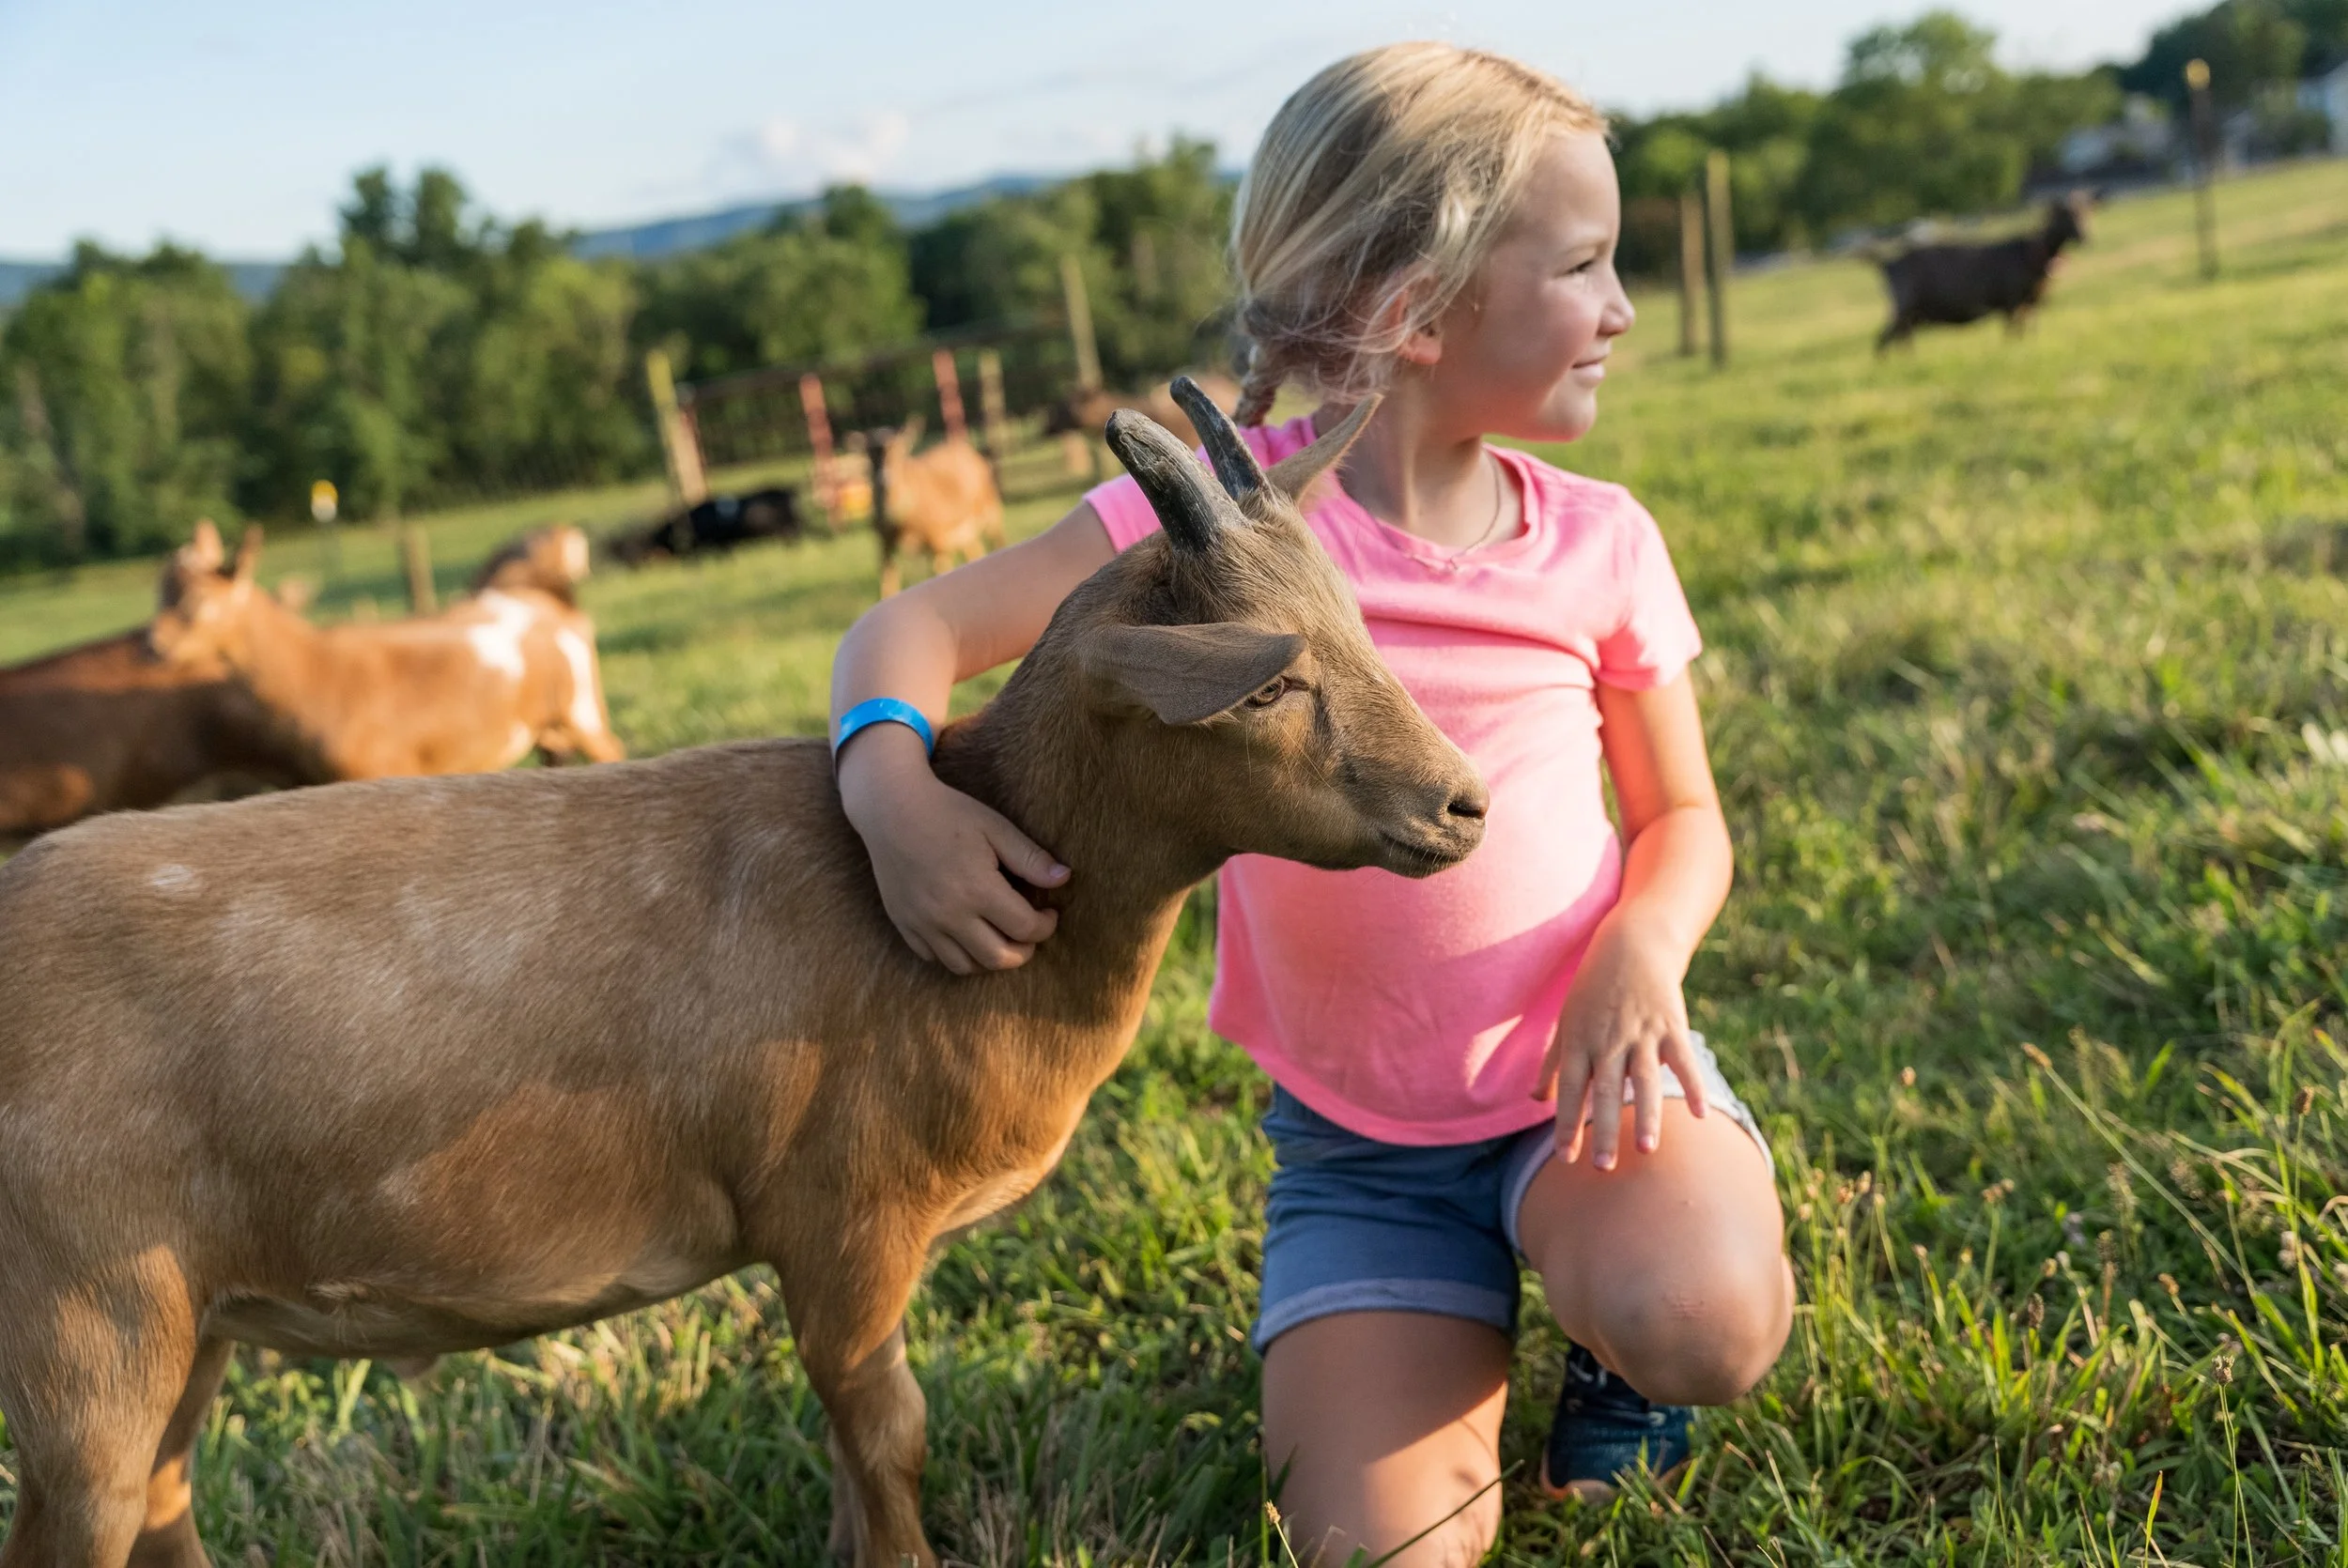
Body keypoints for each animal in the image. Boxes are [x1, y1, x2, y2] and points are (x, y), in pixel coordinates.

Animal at [868, 417, 1006, 597]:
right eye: (868, 456)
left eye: (900, 450)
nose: (884, 480)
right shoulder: (884, 545)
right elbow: (888, 584)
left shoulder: (938, 541)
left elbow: (939, 572)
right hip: (966, 534)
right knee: (976, 552)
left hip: (990, 512)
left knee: (997, 542)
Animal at [1875, 193, 2093, 352]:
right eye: (2065, 216)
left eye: (2084, 212)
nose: (2085, 236)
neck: (2031, 255)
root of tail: (1888, 263)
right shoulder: (2011, 301)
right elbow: (2012, 331)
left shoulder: (2030, 302)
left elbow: (2029, 330)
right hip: (1905, 306)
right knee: (1883, 339)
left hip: (1914, 313)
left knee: (1899, 337)